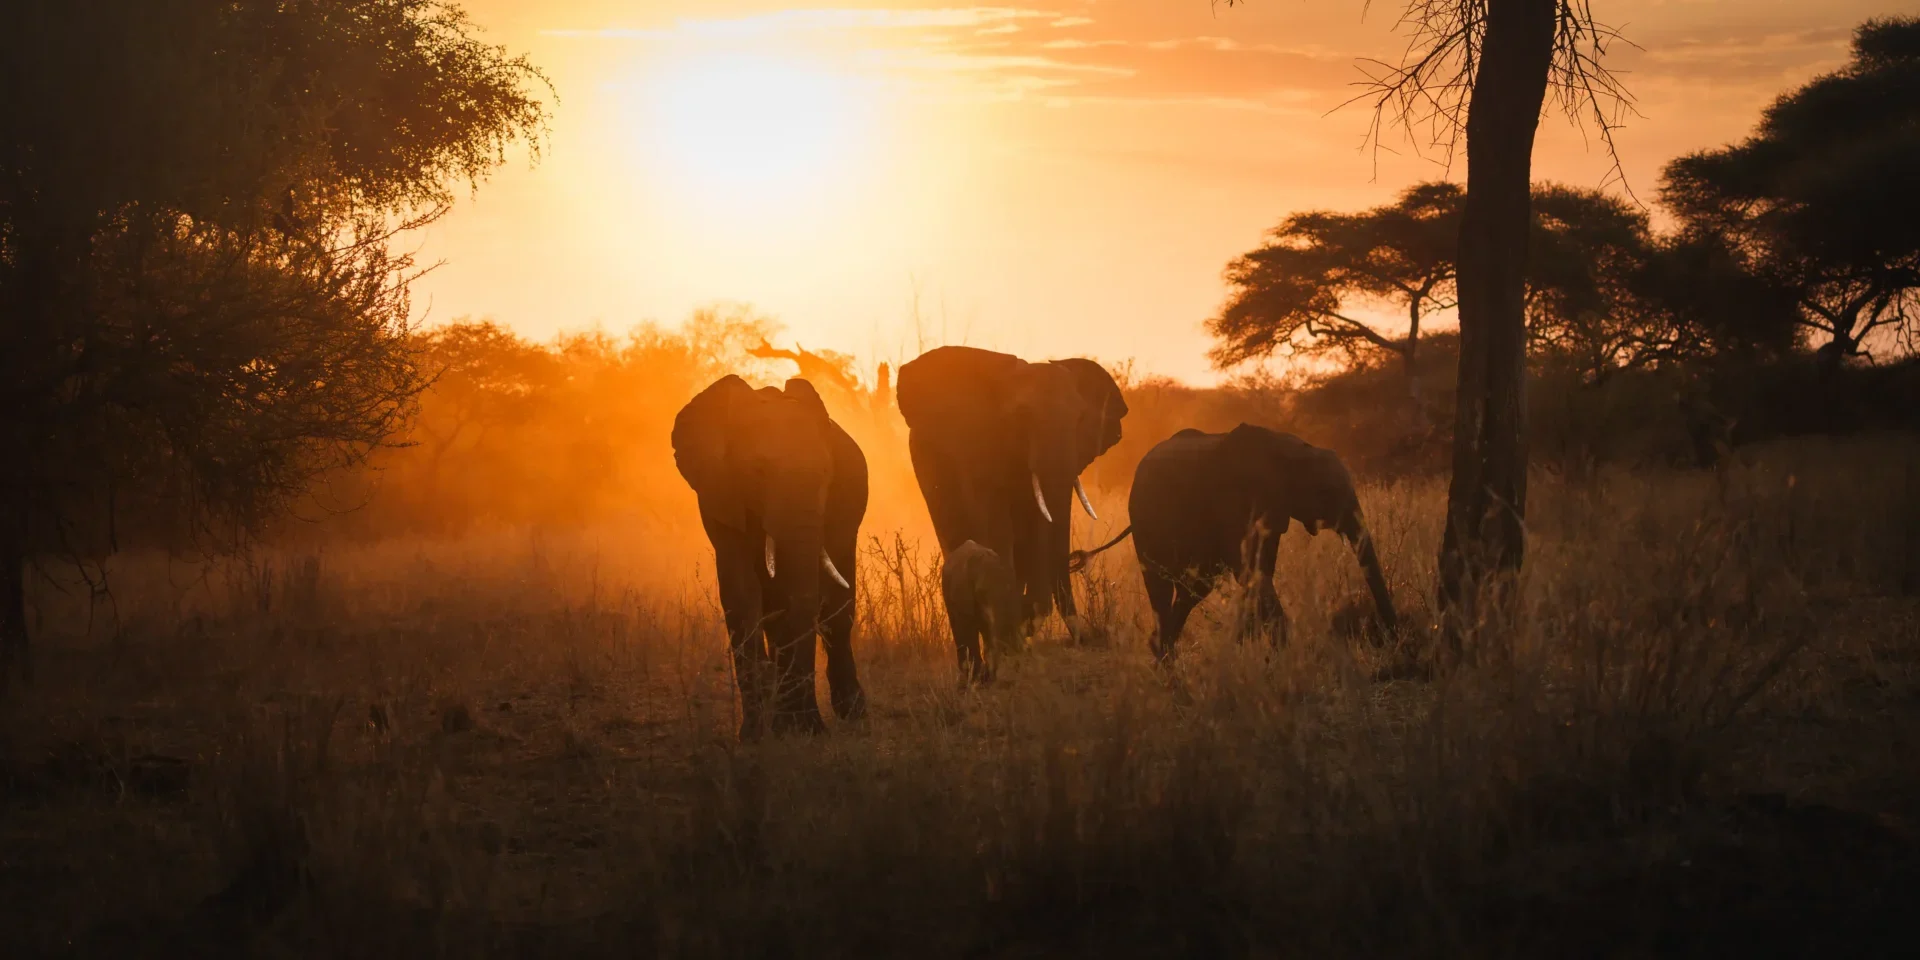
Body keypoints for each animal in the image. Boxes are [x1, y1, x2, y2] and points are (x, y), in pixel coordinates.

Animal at [672, 375, 868, 738]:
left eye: (826, 473)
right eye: (758, 471)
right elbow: (741, 592)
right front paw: (755, 734)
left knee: (836, 609)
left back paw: (852, 715)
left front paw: (802, 730)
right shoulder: (719, 492)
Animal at [1071, 424, 1398, 661]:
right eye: (1327, 492)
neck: (1291, 450)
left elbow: (1259, 571)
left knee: (1196, 586)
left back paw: (1162, 649)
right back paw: (1164, 657)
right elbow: (1251, 572)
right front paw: (1286, 654)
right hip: (1146, 523)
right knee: (1161, 586)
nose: (1392, 640)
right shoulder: (1235, 503)